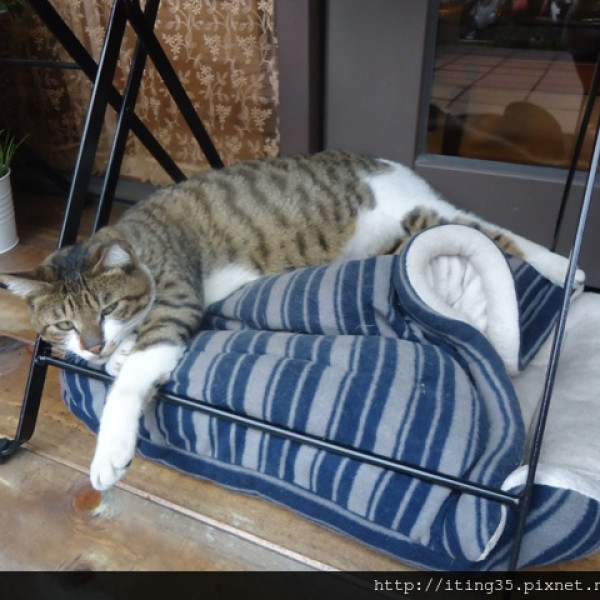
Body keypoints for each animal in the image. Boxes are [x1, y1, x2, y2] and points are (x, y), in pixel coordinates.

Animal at [0, 150, 583, 491]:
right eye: (62, 326)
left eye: (107, 309)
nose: (93, 345)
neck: (138, 243)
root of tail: (384, 163)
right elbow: (124, 361)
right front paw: (114, 358)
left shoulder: (176, 301)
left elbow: (132, 378)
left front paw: (111, 450)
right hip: (399, 235)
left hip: (417, 215)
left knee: (490, 233)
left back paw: (564, 269)